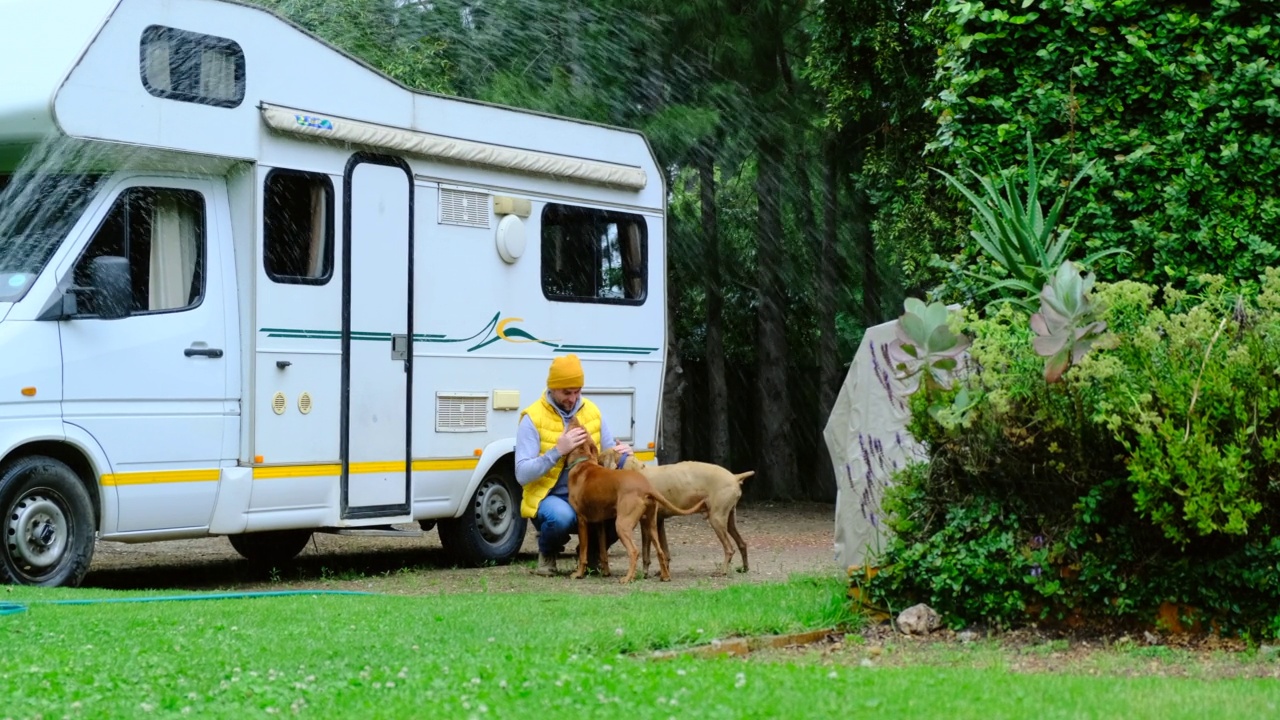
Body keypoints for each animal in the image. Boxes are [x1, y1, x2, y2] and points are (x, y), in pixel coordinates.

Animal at [568, 422, 711, 579]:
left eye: (578, 429)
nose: (574, 421)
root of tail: (647, 487)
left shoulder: (582, 520)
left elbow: (583, 553)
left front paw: (579, 573)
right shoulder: (600, 523)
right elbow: (603, 552)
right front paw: (605, 571)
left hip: (622, 524)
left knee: (634, 551)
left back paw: (627, 578)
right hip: (651, 524)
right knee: (660, 551)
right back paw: (664, 576)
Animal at [599, 450, 747, 573]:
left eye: (599, 460)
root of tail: (734, 477)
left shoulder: (646, 521)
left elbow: (646, 551)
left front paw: (645, 572)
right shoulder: (659, 521)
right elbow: (665, 550)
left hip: (716, 519)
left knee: (729, 548)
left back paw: (722, 571)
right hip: (728, 520)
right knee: (742, 543)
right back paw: (744, 568)